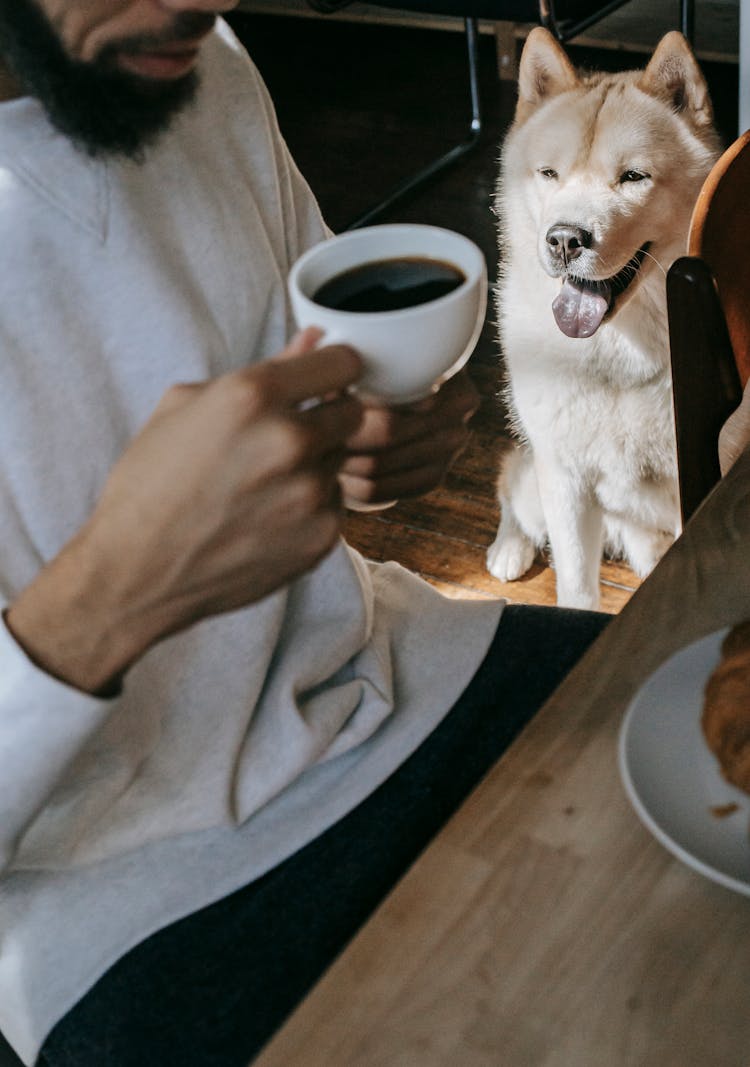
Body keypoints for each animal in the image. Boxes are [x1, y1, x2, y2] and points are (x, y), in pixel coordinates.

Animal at [486, 27, 721, 610]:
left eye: (633, 177)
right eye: (550, 174)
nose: (565, 240)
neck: (617, 352)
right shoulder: (565, 480)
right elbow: (575, 587)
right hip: (537, 481)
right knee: (509, 479)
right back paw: (509, 547)